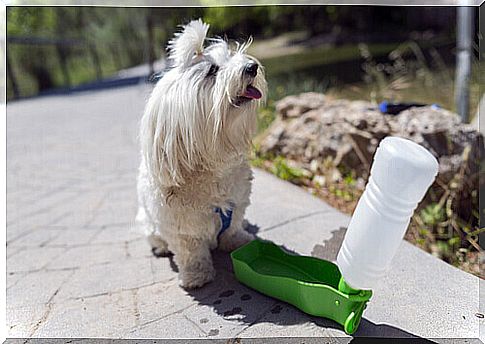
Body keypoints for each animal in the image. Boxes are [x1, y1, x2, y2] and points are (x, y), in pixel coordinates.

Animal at [134, 18, 266, 288]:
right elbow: (191, 251)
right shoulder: (182, 229)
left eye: (230, 55)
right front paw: (197, 275)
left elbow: (233, 225)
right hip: (147, 222)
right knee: (155, 237)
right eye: (212, 71)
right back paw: (160, 247)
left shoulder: (237, 201)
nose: (252, 67)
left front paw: (237, 240)